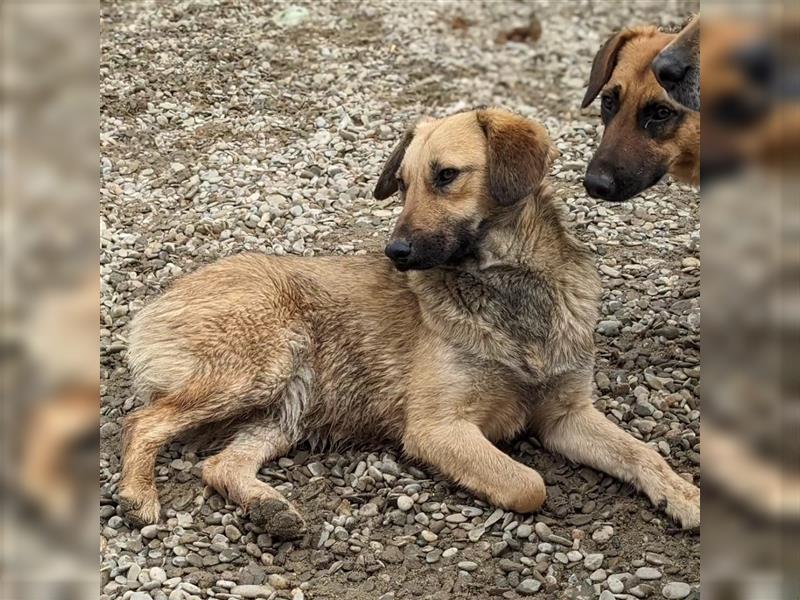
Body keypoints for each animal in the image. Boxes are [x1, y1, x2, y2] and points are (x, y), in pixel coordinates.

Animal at [119, 106, 700, 536]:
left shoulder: (567, 416)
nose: (394, 253)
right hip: (261, 364)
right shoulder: (437, 428)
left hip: (284, 409)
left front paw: (684, 494)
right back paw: (137, 493)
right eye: (400, 184)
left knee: (220, 464)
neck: (509, 289)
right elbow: (528, 484)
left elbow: (641, 452)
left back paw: (269, 508)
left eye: (446, 176)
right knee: (144, 421)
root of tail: (159, 300)